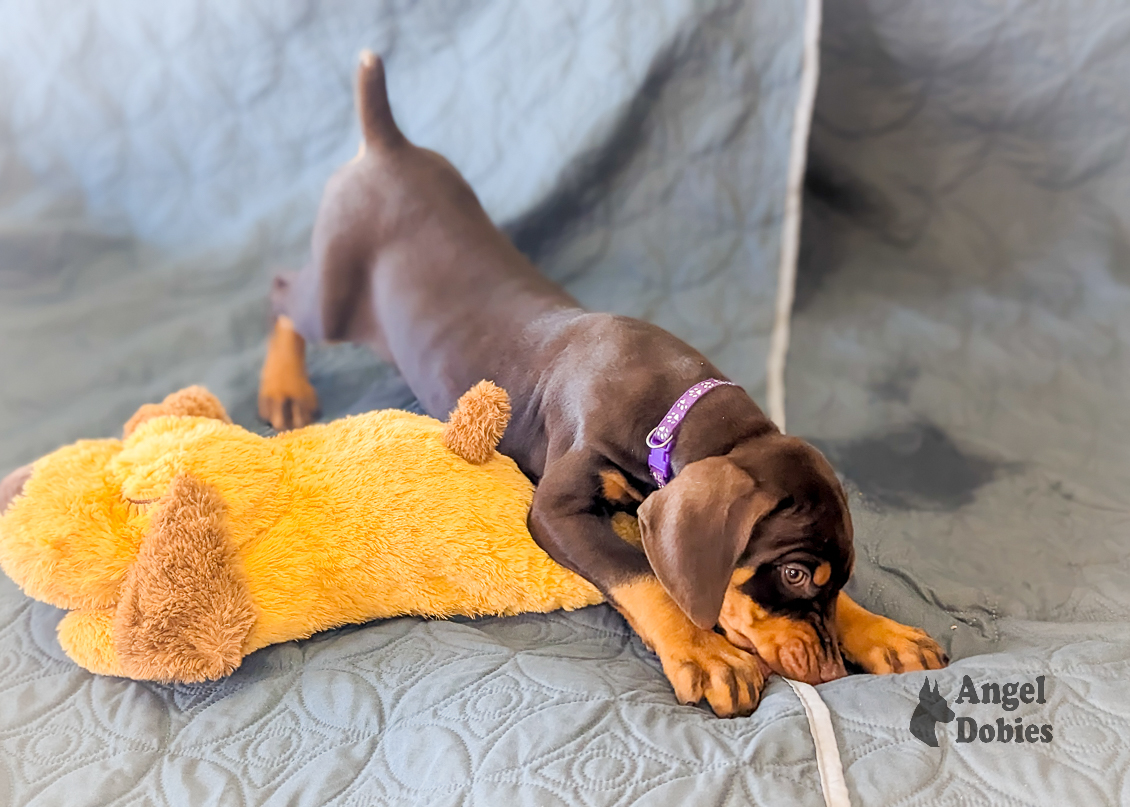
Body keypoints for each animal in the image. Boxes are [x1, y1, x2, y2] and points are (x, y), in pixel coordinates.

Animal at [256, 53, 944, 714]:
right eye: (795, 576)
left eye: (835, 578)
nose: (830, 676)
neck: (674, 409)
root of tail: (388, 143)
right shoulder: (556, 510)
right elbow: (641, 574)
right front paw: (706, 655)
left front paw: (880, 632)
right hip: (337, 294)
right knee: (284, 293)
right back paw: (284, 386)